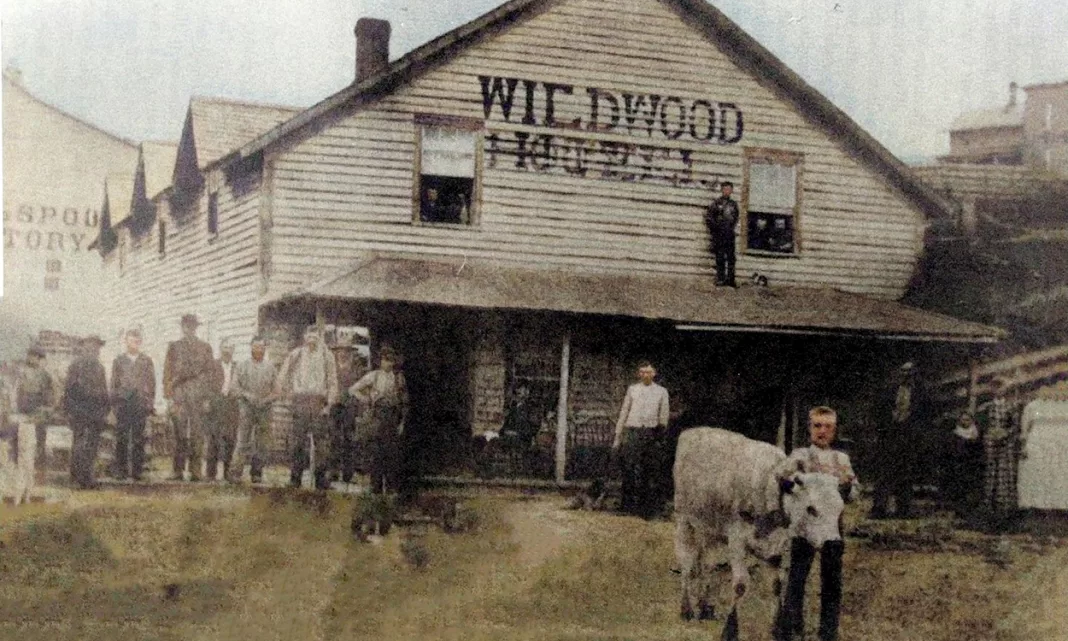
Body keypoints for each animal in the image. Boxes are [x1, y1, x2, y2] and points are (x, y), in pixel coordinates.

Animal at [674, 425, 841, 632]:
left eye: (840, 507)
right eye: (811, 508)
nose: (834, 544)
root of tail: (694, 430)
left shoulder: (775, 547)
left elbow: (776, 585)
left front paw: (776, 627)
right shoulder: (737, 540)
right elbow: (740, 585)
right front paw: (730, 629)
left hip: (711, 529)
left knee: (708, 564)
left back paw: (706, 608)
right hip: (684, 520)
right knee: (687, 563)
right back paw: (686, 609)